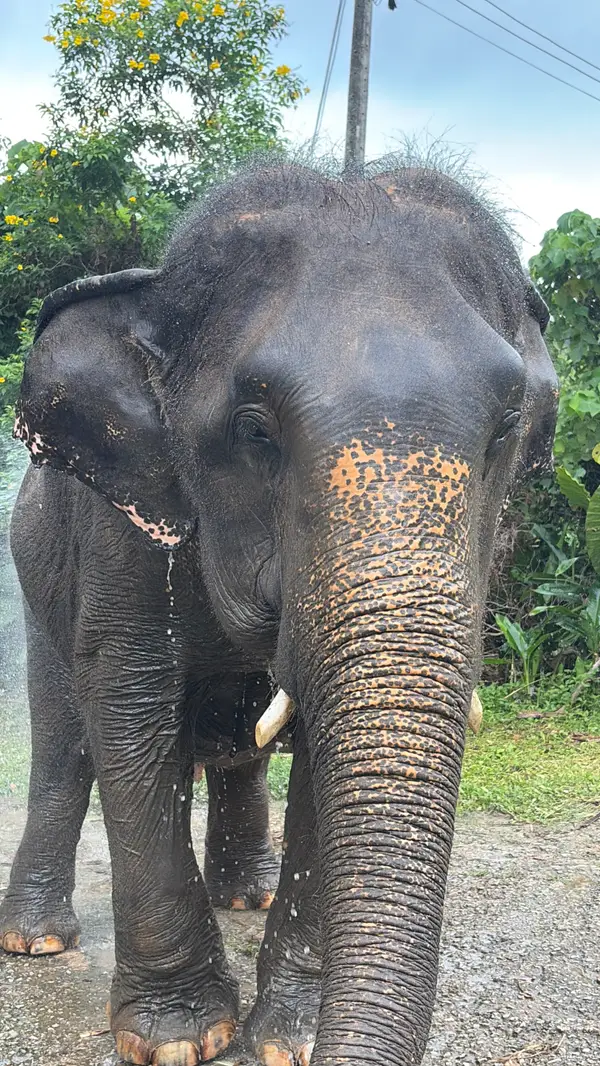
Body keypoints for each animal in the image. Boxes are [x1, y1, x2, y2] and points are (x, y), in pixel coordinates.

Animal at [1, 162, 557, 1066]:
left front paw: (289, 1039)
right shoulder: (120, 537)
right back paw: (38, 940)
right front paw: (180, 1037)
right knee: (64, 744)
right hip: (36, 572)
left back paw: (248, 895)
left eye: (506, 430)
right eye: (255, 430)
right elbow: (128, 714)